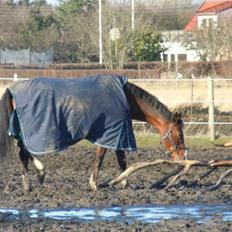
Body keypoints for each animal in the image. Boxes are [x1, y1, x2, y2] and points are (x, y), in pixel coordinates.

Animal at [0, 75, 186, 192]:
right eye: (179, 134)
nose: (182, 157)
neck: (125, 97)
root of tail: (12, 89)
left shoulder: (117, 134)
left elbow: (122, 160)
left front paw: (124, 182)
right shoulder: (106, 134)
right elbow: (100, 158)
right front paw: (94, 184)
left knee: (23, 153)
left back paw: (31, 182)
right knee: (24, 152)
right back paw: (38, 174)